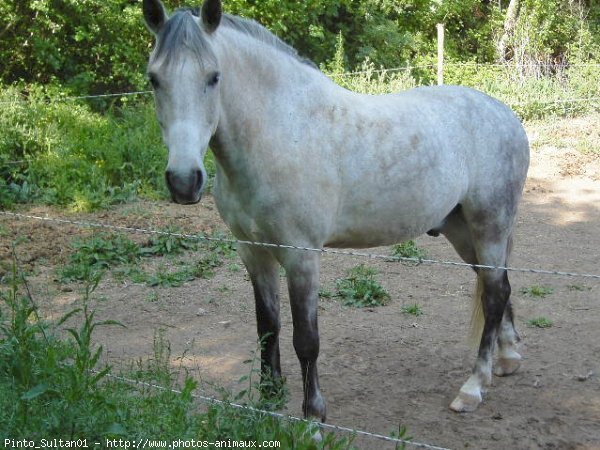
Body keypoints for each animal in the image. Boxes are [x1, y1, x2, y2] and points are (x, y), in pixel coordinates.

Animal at [144, 0, 528, 420]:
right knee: (498, 288)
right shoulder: (254, 253)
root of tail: (505, 114)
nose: (184, 181)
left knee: (494, 294)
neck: (283, 133)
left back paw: (473, 387)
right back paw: (507, 360)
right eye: (154, 79)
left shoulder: (301, 256)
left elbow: (306, 339)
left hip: (490, 226)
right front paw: (268, 402)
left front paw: (313, 416)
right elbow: (267, 327)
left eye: (214, 78)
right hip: (462, 232)